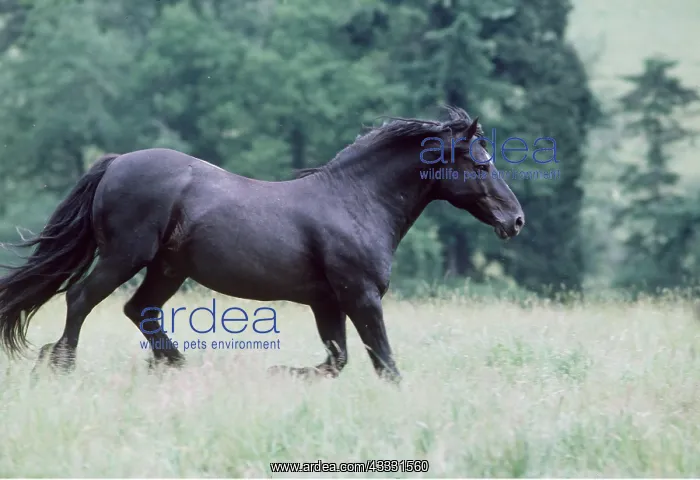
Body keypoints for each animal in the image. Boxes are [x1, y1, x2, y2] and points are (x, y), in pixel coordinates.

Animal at [0, 106, 524, 384]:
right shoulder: (360, 296)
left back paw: (175, 364)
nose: (515, 220)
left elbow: (337, 359)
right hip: (125, 256)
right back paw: (59, 364)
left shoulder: (327, 301)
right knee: (80, 298)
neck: (357, 202)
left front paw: (282, 372)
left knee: (139, 310)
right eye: (482, 163)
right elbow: (383, 363)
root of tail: (115, 163)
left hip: (168, 268)